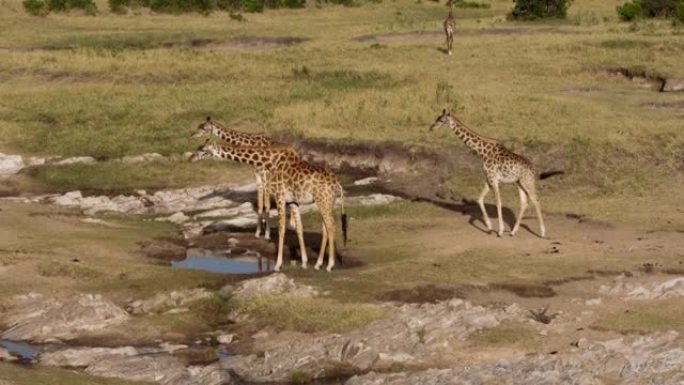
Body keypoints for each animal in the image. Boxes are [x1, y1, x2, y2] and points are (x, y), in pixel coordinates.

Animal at [190, 140, 348, 270]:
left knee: (331, 226)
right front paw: (303, 262)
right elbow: (299, 228)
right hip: (327, 202)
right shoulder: (292, 201)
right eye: (198, 147)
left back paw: (330, 265)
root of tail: (338, 184)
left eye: (203, 150)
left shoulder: (279, 196)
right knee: (326, 228)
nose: (190, 158)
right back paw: (318, 264)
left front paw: (278, 265)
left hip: (323, 201)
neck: (270, 161)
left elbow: (281, 228)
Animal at [430, 109, 564, 237]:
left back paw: (542, 233)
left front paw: (500, 231)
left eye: (441, 120)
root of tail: (534, 169)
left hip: (527, 181)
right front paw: (489, 228)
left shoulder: (494, 179)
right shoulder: (488, 179)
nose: (432, 127)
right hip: (519, 183)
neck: (482, 151)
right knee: (524, 202)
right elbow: (479, 199)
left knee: (536, 200)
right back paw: (513, 232)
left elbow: (498, 202)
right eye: (437, 118)